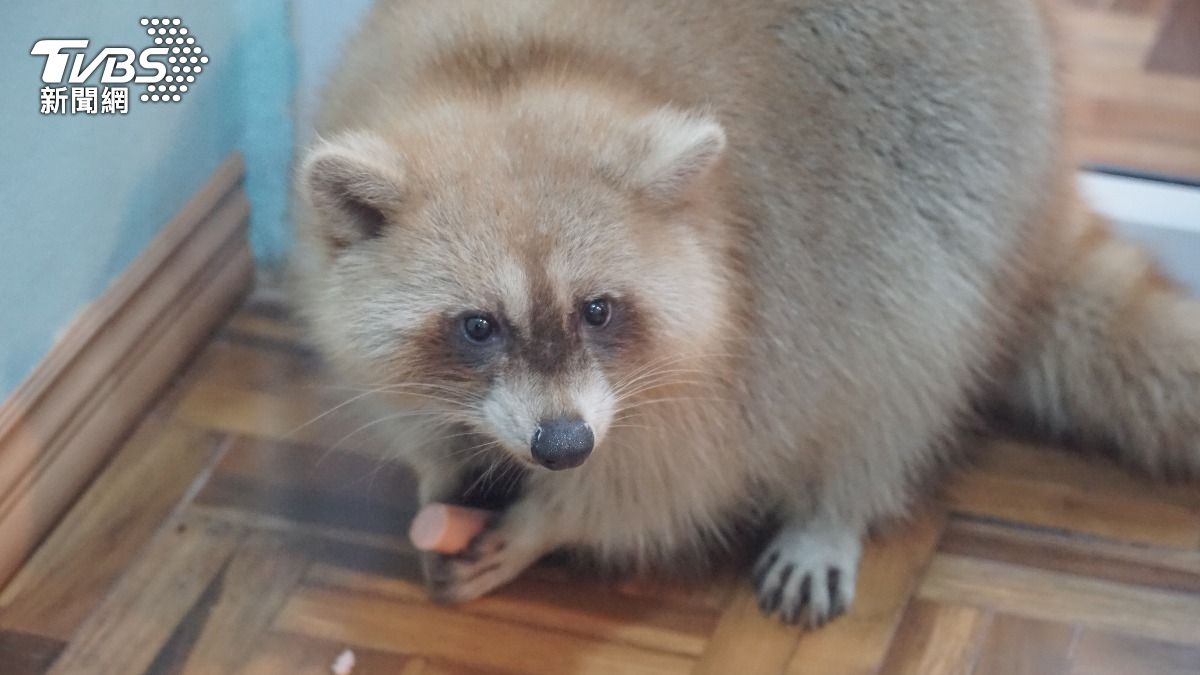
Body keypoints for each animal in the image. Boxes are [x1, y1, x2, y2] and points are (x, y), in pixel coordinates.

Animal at [290, 0, 1200, 624]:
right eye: (478, 326)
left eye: (598, 310)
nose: (563, 445)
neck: (507, 73)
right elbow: (397, 389)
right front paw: (439, 460)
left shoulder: (755, 307)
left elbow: (676, 480)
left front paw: (553, 520)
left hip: (973, 161)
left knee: (910, 335)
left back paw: (839, 499)